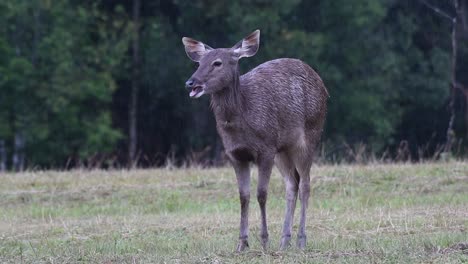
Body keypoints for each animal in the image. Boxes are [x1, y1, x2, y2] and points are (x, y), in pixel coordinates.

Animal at [181, 29, 328, 251]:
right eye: (198, 63)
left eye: (217, 62)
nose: (191, 82)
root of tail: (324, 87)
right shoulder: (235, 154)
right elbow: (244, 196)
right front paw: (242, 243)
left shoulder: (265, 148)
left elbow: (261, 194)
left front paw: (264, 240)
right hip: (283, 149)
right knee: (292, 184)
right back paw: (284, 240)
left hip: (309, 135)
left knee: (305, 184)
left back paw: (301, 240)